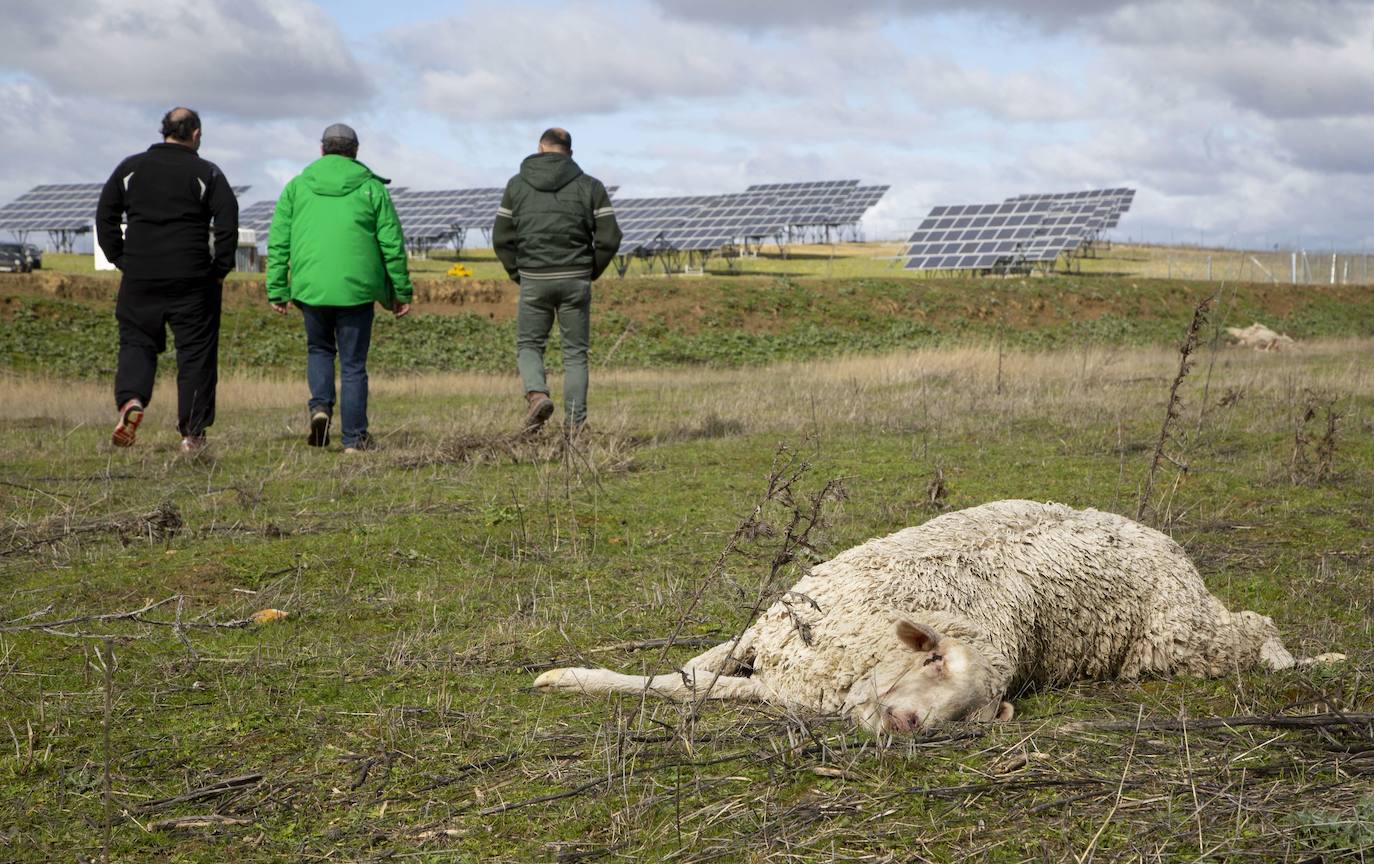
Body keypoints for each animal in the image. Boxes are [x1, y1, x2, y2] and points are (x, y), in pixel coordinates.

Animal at [535, 499, 1341, 736]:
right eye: (928, 659)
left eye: (971, 711)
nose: (905, 723)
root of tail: (1164, 545)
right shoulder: (759, 639)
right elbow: (683, 673)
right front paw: (566, 677)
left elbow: (684, 682)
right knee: (1255, 622)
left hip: (1179, 640)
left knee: (1255, 626)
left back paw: (1309, 663)